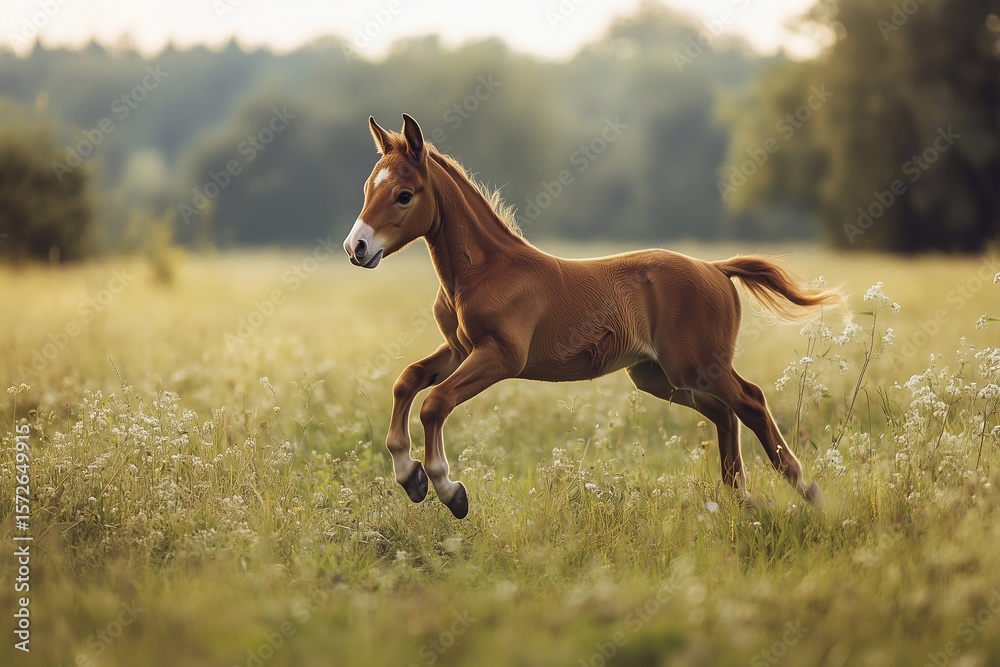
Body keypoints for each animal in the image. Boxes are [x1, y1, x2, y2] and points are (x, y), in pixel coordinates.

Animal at [343, 114, 844, 519]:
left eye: (404, 195)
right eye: (368, 189)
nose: (356, 247)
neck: (486, 269)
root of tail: (717, 268)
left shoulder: (501, 356)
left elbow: (435, 402)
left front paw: (448, 489)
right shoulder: (459, 347)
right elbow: (408, 379)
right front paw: (409, 475)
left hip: (697, 366)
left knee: (752, 401)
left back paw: (807, 491)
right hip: (658, 375)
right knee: (725, 413)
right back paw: (740, 499)